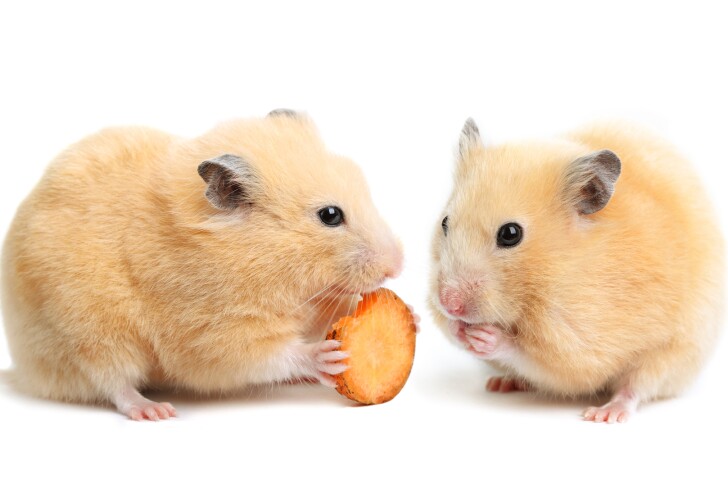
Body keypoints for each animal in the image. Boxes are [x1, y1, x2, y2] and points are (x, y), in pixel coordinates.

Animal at [1, 110, 403, 420]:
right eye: (330, 215)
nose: (398, 266)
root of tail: (22, 368)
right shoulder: (211, 333)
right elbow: (268, 354)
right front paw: (325, 356)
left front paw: (410, 315)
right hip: (89, 334)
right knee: (113, 382)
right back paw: (154, 411)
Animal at [429, 119, 724, 423]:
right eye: (445, 222)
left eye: (510, 234)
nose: (449, 304)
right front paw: (455, 327)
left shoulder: (580, 342)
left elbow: (540, 358)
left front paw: (486, 337)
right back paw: (501, 383)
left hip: (674, 353)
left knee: (636, 387)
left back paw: (605, 414)